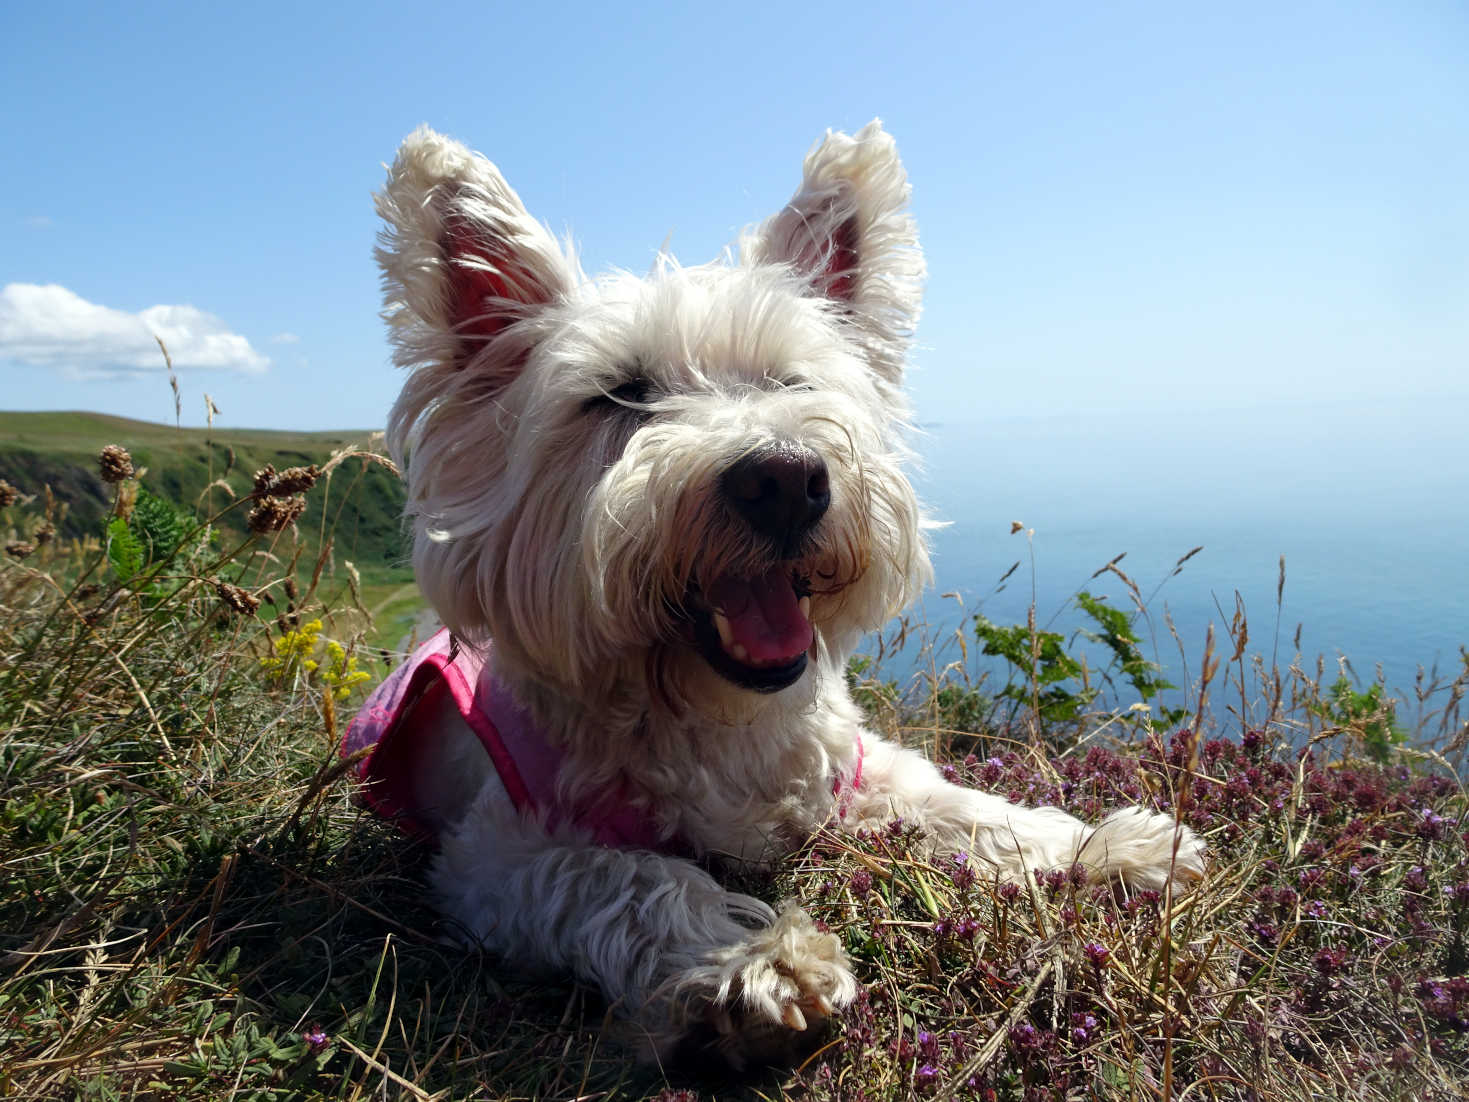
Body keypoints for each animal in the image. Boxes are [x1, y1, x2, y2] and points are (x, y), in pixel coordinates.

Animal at [352, 120, 1204, 1069]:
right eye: (620, 393)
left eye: (791, 380)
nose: (785, 481)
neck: (713, 717)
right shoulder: (496, 851)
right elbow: (631, 876)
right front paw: (755, 963)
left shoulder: (864, 766)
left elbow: (966, 809)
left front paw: (1105, 845)